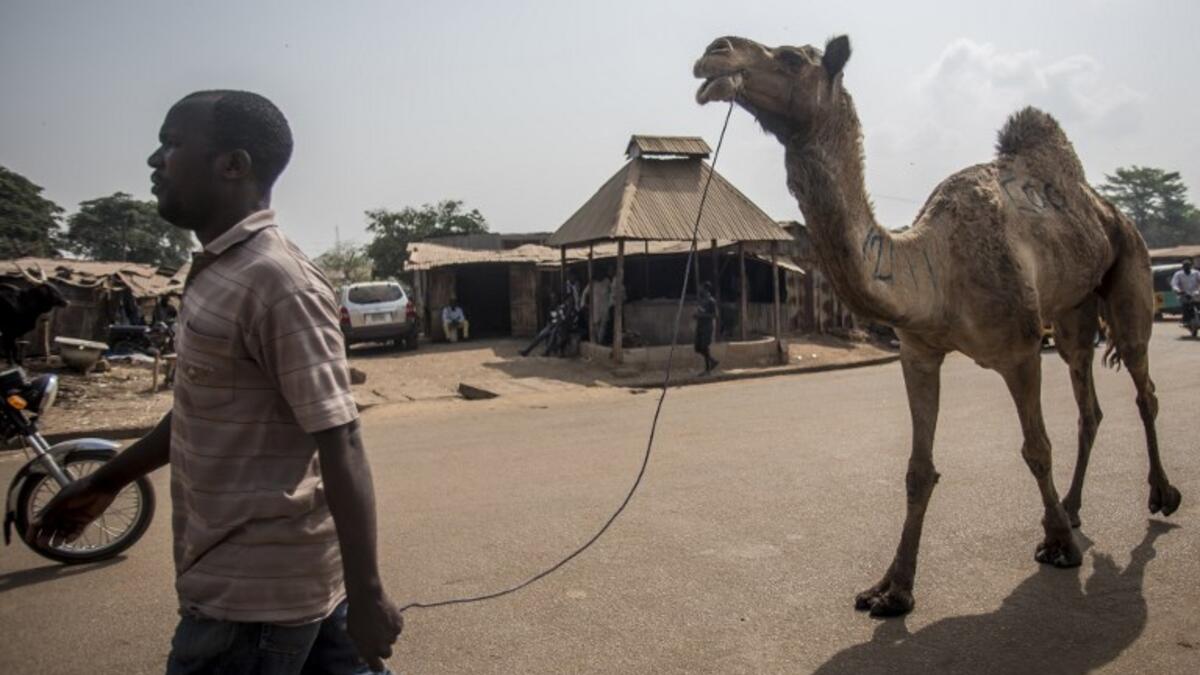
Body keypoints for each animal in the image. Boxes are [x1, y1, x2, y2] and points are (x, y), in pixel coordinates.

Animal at [693, 35, 1182, 617]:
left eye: (791, 57)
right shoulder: (919, 352)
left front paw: (1060, 546)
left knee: (1143, 383)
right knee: (1088, 397)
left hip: (1129, 267)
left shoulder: (1019, 350)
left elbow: (1036, 449)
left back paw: (1160, 496)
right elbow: (917, 470)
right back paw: (1073, 505)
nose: (715, 51)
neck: (936, 265)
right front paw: (892, 588)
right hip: (1072, 312)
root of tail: (1110, 210)